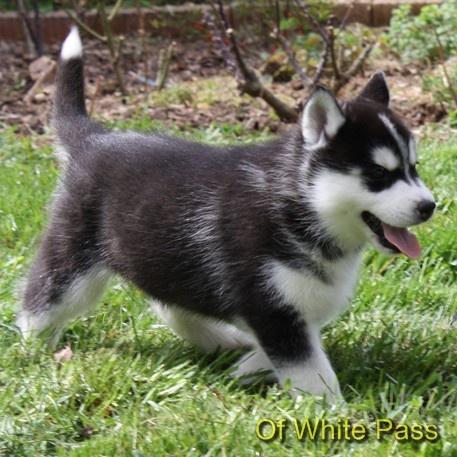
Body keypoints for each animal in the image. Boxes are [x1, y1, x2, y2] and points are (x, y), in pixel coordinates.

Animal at [17, 27, 435, 402]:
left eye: (414, 167)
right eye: (378, 174)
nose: (429, 206)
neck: (297, 203)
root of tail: (93, 138)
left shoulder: (292, 308)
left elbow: (298, 346)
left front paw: (248, 368)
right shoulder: (270, 304)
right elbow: (310, 368)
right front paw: (335, 414)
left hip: (160, 253)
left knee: (169, 304)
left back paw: (221, 342)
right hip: (73, 261)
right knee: (41, 301)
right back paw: (31, 350)